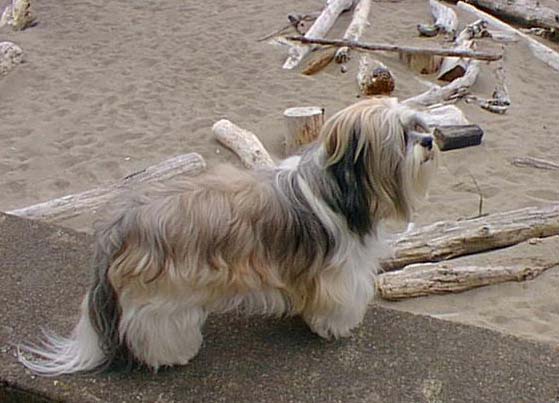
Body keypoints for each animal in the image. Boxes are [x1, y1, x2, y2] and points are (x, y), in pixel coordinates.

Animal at [18, 97, 438, 375]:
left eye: (417, 125)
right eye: (401, 135)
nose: (429, 140)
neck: (338, 189)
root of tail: (122, 220)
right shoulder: (339, 272)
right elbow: (337, 303)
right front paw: (335, 327)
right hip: (164, 295)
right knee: (150, 327)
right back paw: (172, 354)